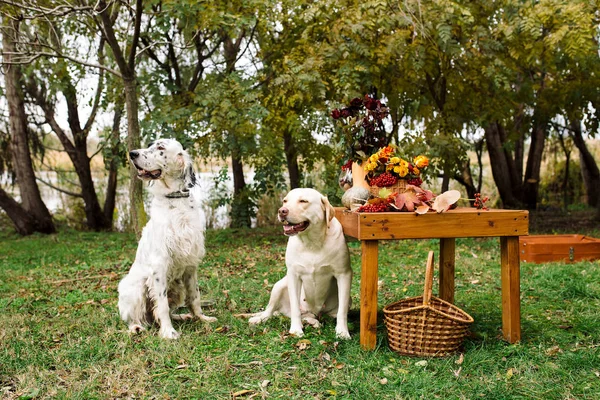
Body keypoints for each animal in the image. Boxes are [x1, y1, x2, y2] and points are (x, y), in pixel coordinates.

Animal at [116, 139, 217, 340]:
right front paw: (168, 332)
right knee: (135, 317)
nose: (132, 153)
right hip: (135, 288)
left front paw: (201, 318)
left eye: (160, 148)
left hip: (176, 287)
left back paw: (182, 316)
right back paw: (136, 327)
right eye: (149, 145)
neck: (176, 201)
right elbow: (161, 305)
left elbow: (194, 296)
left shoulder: (191, 265)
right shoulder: (159, 265)